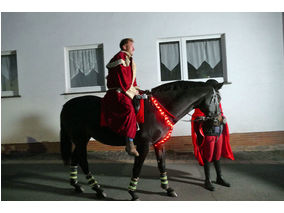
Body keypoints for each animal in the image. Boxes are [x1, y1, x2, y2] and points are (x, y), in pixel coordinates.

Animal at [60, 79, 224, 200]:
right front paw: (132, 192)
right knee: (83, 160)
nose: (218, 120)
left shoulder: (159, 143)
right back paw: (98, 189)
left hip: (81, 139)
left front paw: (167, 188)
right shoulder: (144, 145)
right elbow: (137, 167)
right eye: (217, 98)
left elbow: (162, 165)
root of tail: (67, 105)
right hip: (81, 139)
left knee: (75, 158)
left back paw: (76, 185)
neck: (157, 110)